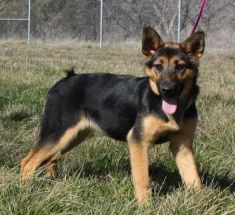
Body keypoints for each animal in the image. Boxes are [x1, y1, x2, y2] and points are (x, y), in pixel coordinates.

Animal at [21, 26, 205, 203]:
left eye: (180, 66)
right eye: (158, 66)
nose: (167, 90)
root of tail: (64, 80)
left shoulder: (182, 145)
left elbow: (193, 178)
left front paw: (201, 202)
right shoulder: (138, 142)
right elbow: (142, 179)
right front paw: (145, 206)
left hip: (71, 136)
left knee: (51, 160)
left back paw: (53, 183)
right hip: (57, 133)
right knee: (28, 162)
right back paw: (26, 191)